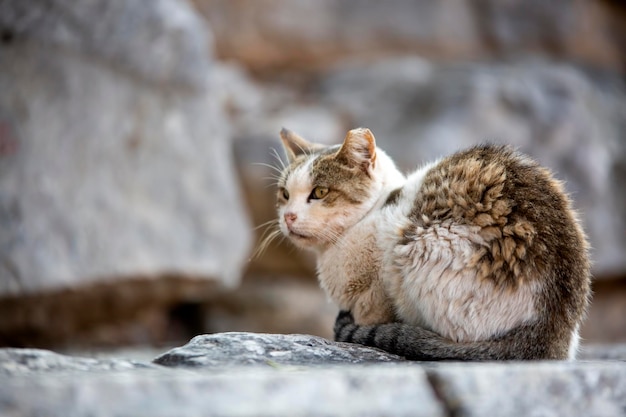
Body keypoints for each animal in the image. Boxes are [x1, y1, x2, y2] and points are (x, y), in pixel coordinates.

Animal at [270, 127, 588, 360]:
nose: (288, 216)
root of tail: (552, 328)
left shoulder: (376, 291)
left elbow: (371, 315)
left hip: (422, 246)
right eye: (285, 194)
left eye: (320, 192)